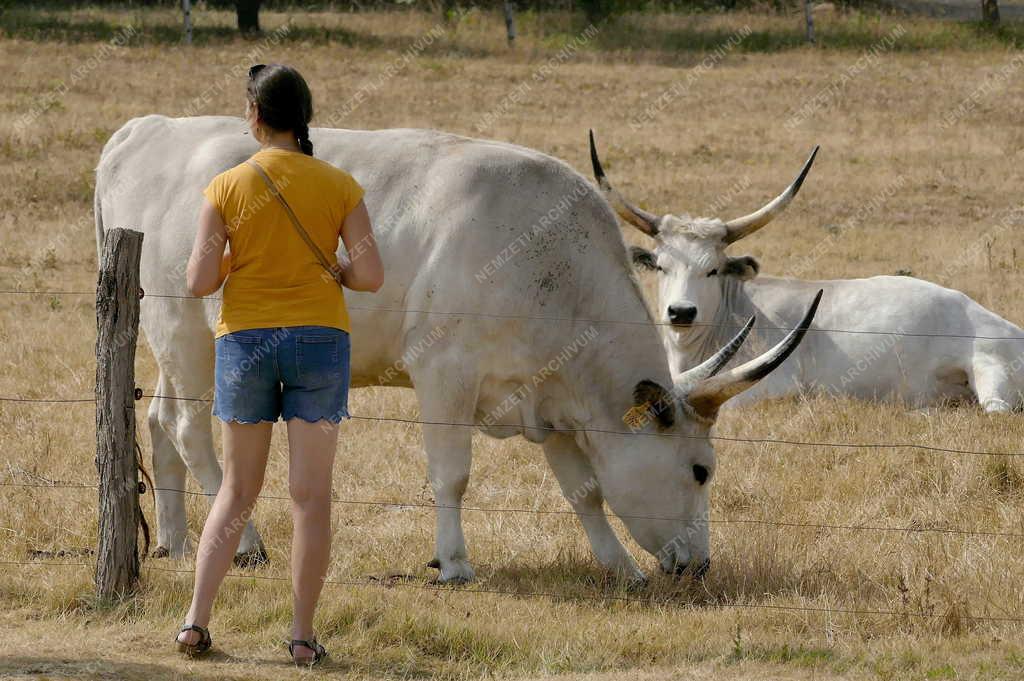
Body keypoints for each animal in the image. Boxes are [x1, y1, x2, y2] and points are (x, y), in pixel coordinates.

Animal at [92, 114, 819, 581]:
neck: (547, 260)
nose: (699, 565)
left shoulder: (555, 399)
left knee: (158, 419)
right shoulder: (444, 375)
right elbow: (452, 474)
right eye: (700, 471)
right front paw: (454, 561)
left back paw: (176, 543)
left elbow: (584, 490)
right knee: (191, 428)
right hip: (184, 329)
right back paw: (242, 544)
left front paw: (617, 566)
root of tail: (149, 131)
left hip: (183, 341)